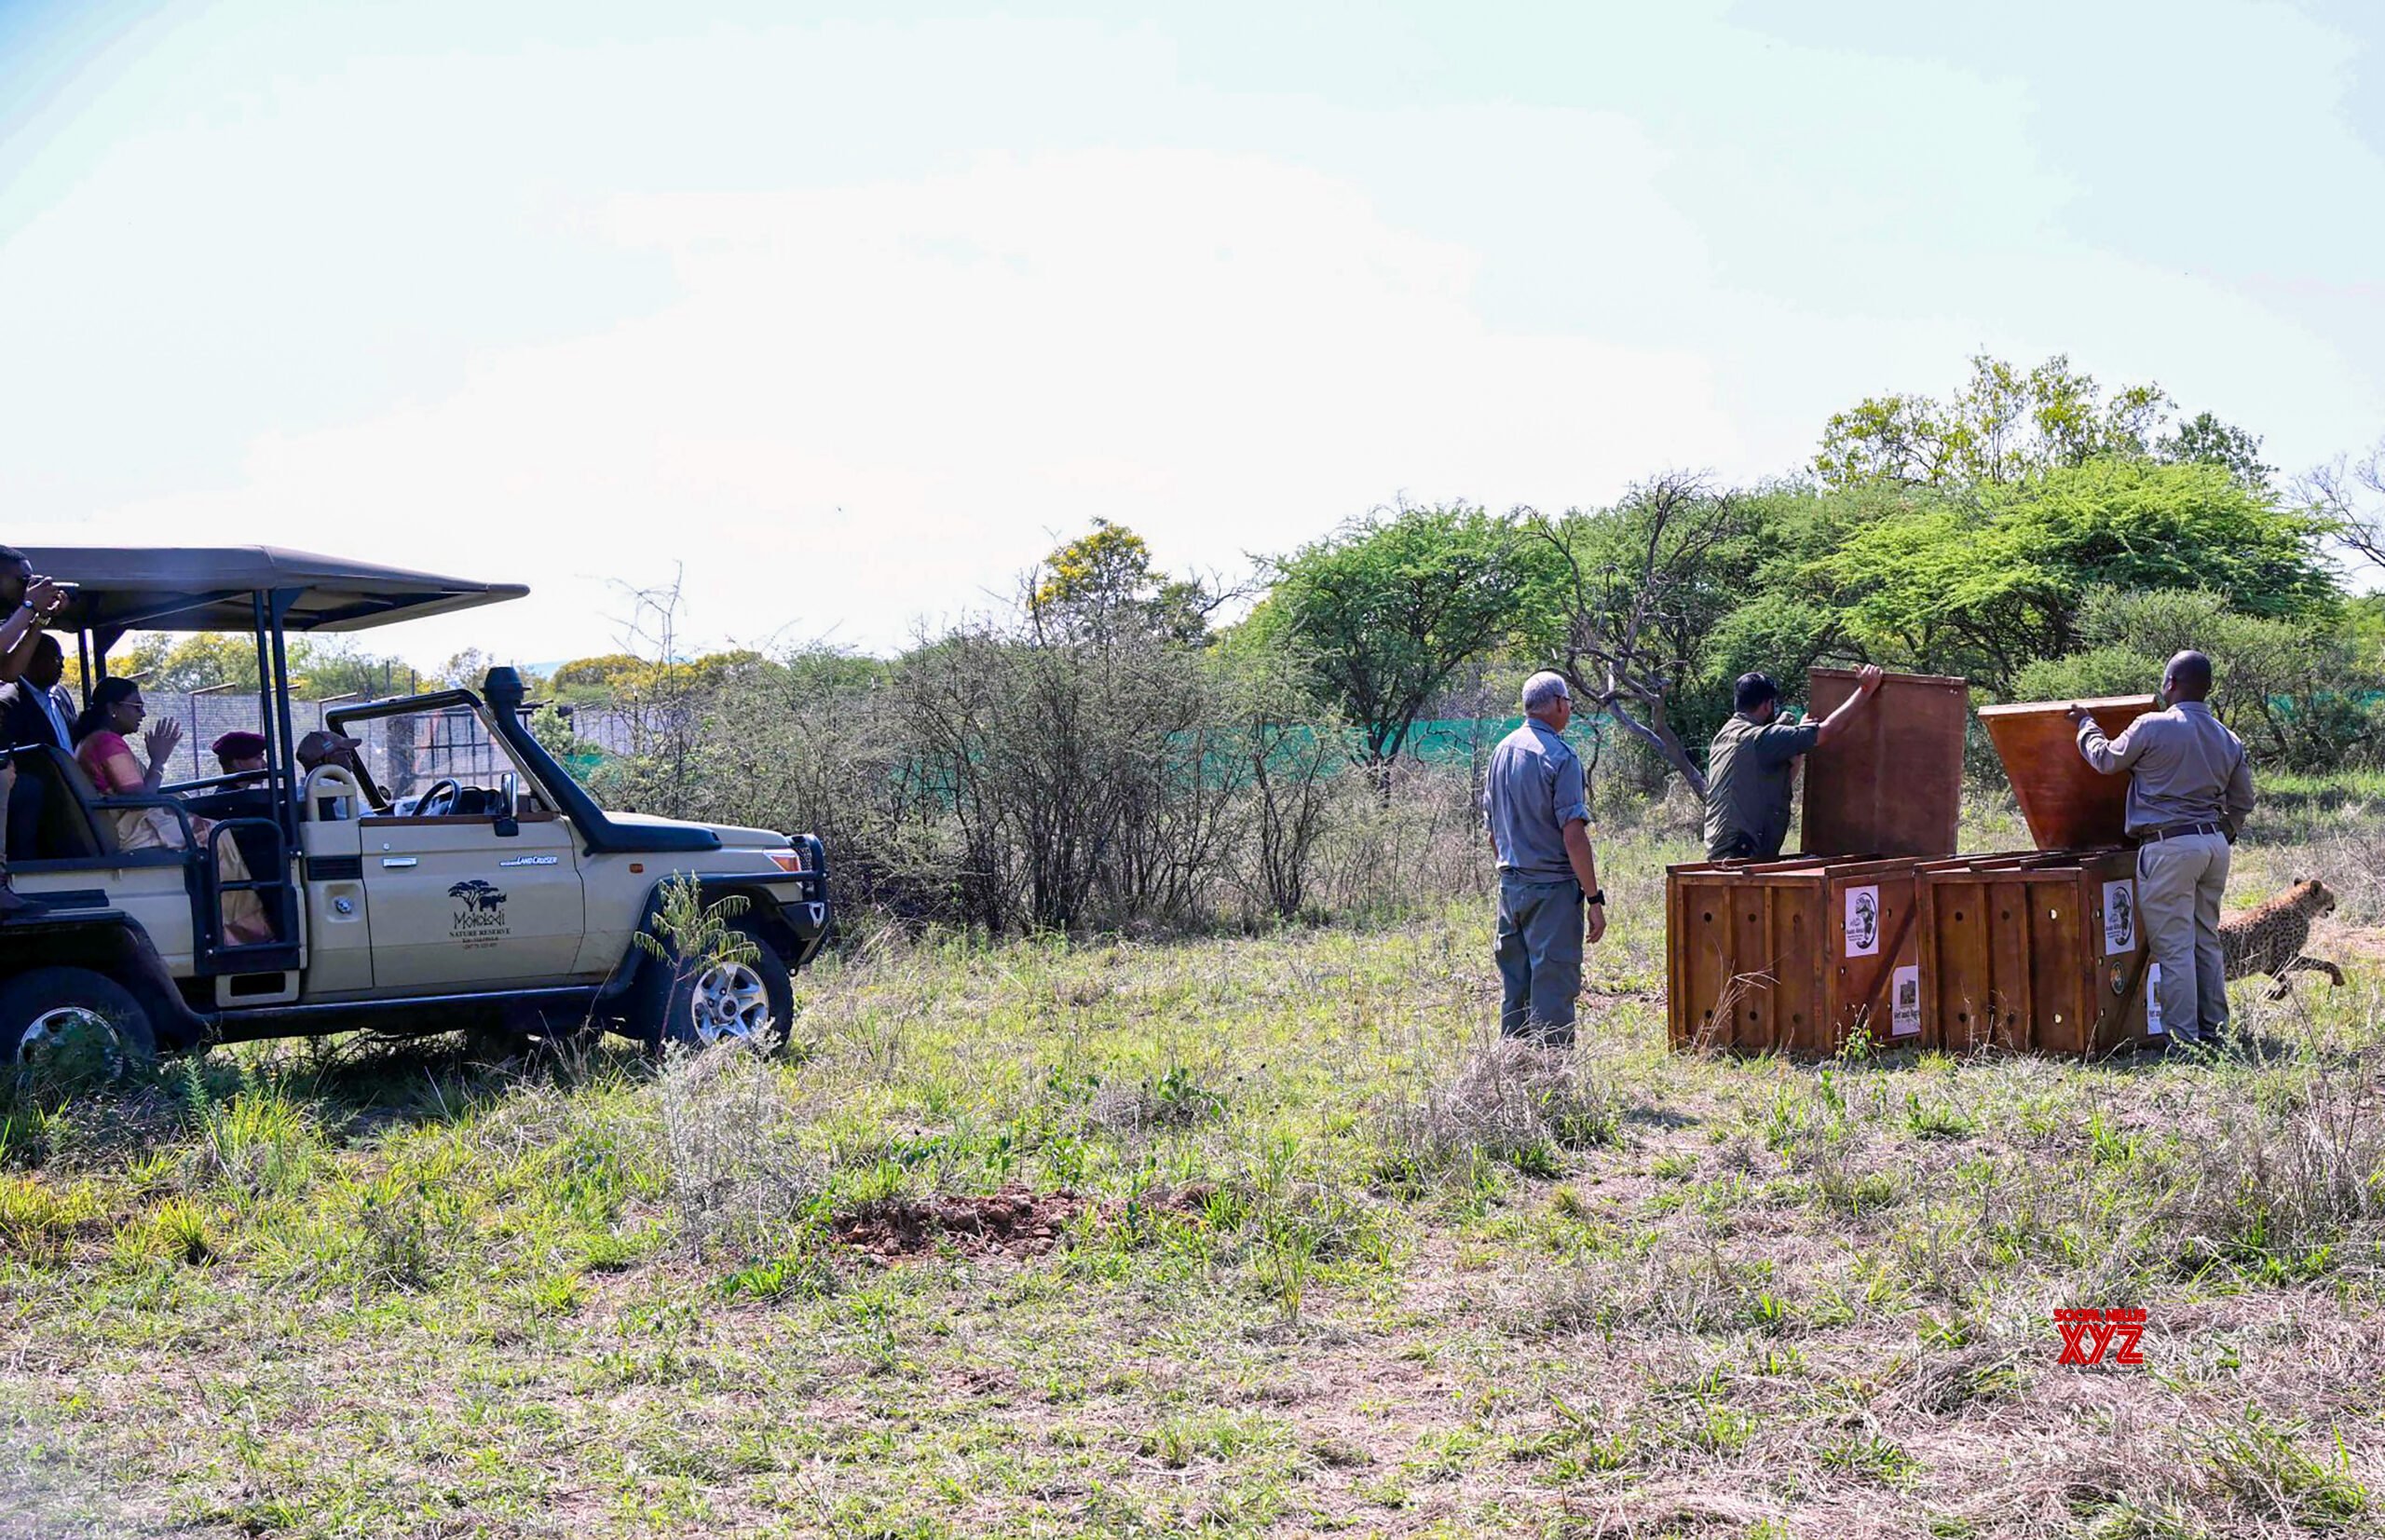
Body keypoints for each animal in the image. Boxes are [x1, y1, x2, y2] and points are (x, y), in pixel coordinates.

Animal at [2219, 878, 2343, 999]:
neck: (2299, 906)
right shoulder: (2284, 957)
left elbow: (2287, 982)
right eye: (2331, 896)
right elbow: (2321, 963)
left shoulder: (2269, 964)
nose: (2334, 906)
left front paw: (2275, 995)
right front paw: (2338, 977)